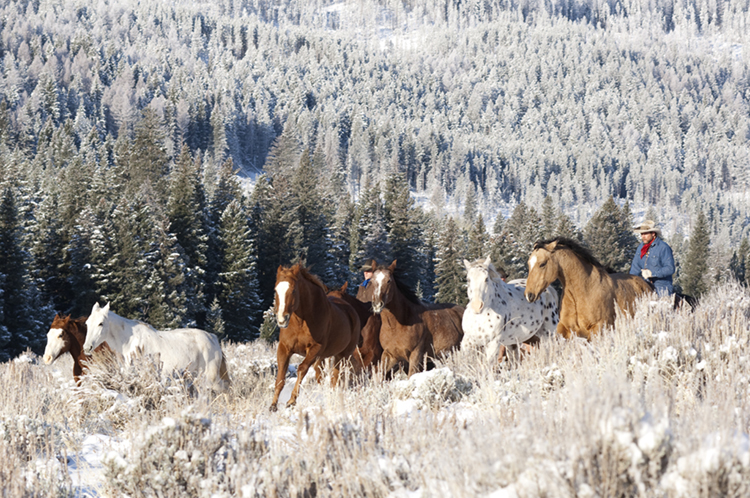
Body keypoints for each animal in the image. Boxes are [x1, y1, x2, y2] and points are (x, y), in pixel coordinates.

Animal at [82, 303, 230, 391]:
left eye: (101, 323)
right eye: (87, 323)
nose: (87, 348)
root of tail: (213, 338)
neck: (128, 341)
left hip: (211, 378)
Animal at [271, 263, 361, 411]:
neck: (301, 322)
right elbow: (280, 376)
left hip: (342, 355)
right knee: (322, 375)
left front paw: (291, 401)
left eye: (293, 290)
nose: (281, 319)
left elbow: (301, 369)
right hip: (323, 358)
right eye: (276, 289)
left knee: (336, 376)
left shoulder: (315, 349)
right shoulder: (284, 348)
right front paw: (273, 405)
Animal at [525, 237, 654, 340]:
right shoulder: (564, 329)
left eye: (542, 264)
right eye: (529, 263)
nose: (529, 295)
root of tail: (647, 285)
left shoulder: (598, 329)